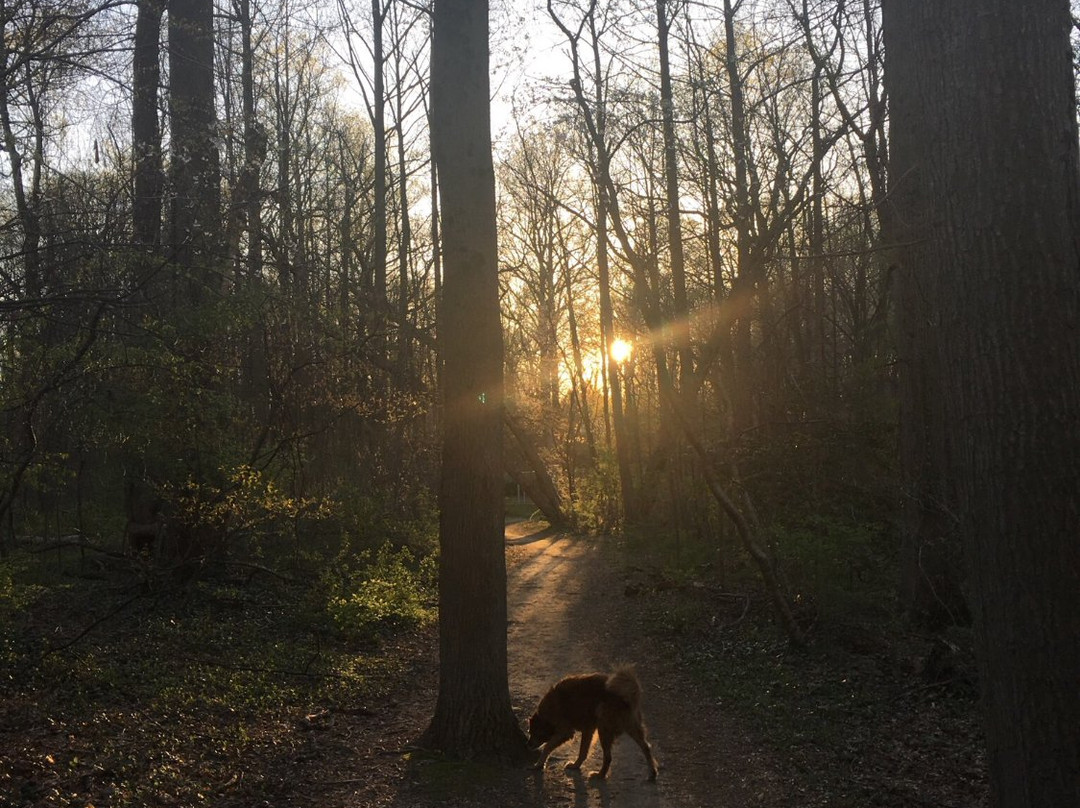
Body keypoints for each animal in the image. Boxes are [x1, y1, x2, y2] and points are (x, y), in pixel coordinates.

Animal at [524, 665, 656, 777]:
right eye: (530, 732)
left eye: (535, 733)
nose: (528, 744)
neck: (549, 708)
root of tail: (625, 697)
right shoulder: (588, 730)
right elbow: (583, 751)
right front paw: (576, 765)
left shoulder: (565, 732)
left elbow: (547, 747)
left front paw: (538, 765)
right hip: (632, 728)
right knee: (646, 747)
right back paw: (652, 773)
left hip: (604, 730)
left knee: (608, 757)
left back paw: (600, 775)